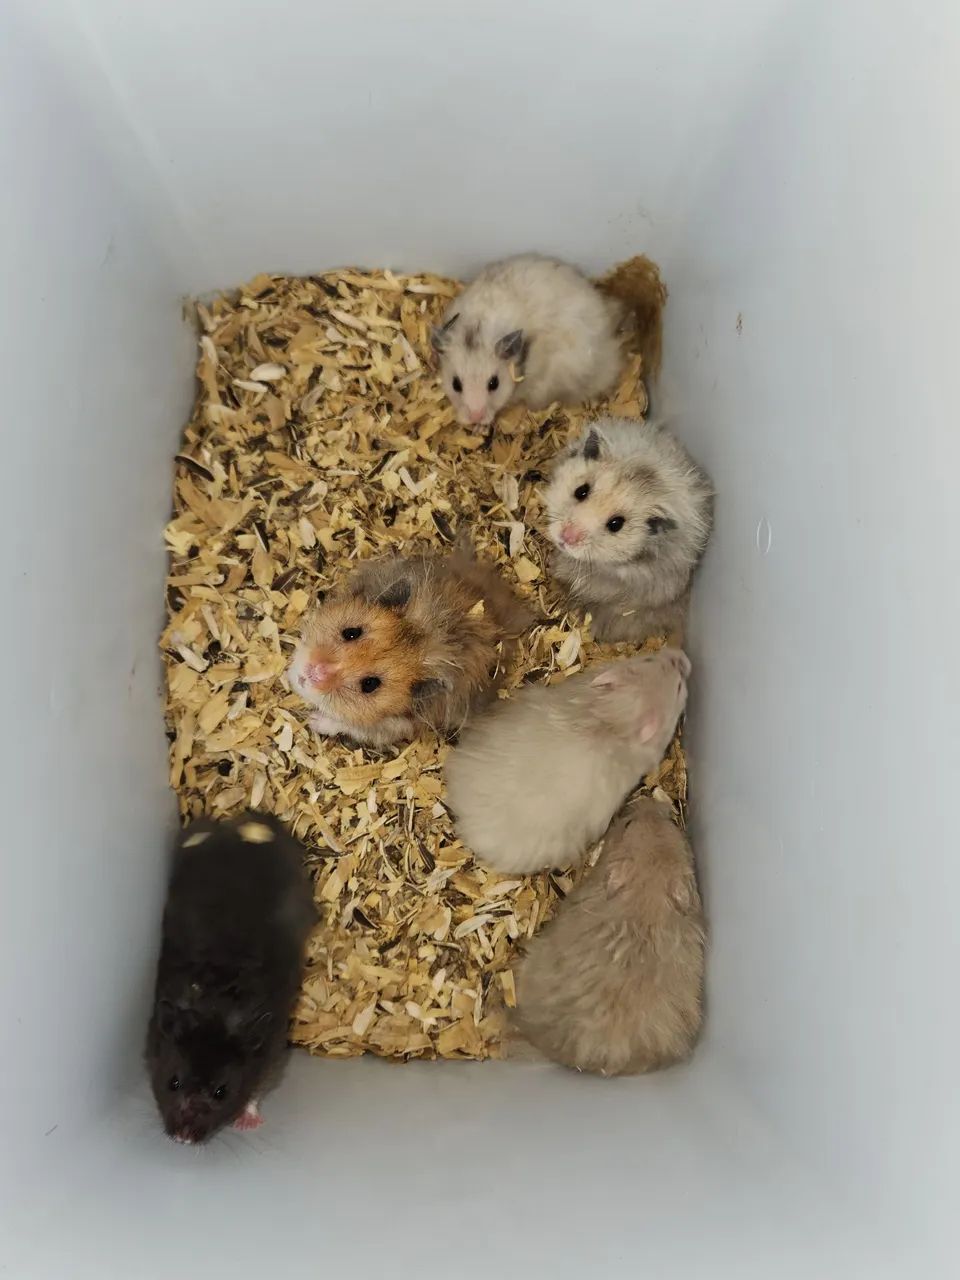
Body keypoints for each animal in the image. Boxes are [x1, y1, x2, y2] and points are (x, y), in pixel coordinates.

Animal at [145, 812, 316, 1144]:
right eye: (173, 1082)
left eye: (221, 1093)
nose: (182, 1139)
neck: (215, 1006)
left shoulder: (272, 1053)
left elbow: (256, 1091)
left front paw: (247, 1123)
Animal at [288, 535, 532, 748]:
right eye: (351, 632)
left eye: (370, 684)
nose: (308, 674)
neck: (424, 637)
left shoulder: (391, 727)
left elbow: (344, 724)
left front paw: (313, 720)